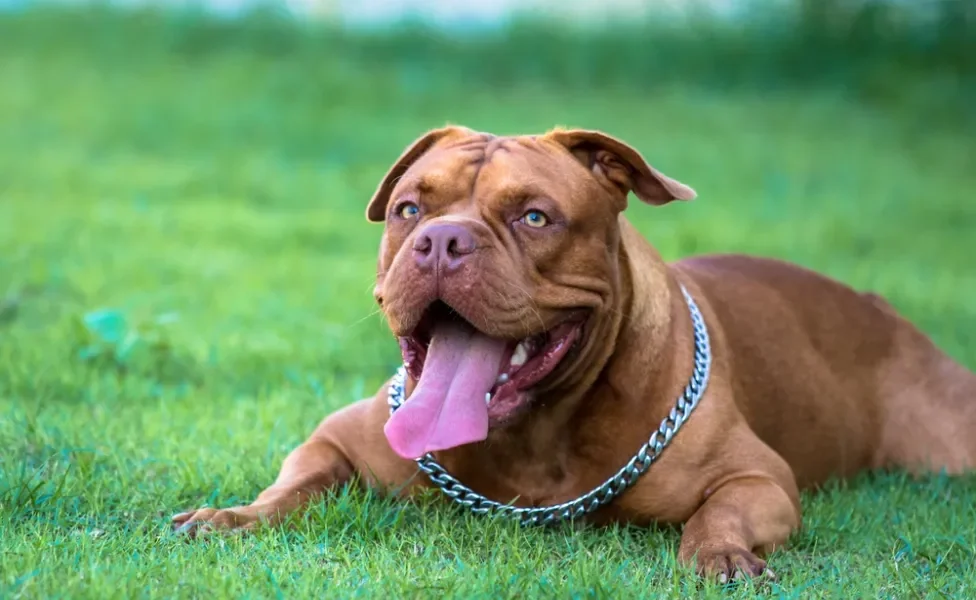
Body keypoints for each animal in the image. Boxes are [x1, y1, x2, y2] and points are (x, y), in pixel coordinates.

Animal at [175, 124, 976, 580]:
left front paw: (717, 554)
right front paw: (234, 516)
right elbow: (293, 487)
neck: (532, 434)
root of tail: (881, 308)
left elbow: (719, 515)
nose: (442, 240)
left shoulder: (758, 478)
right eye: (410, 208)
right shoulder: (338, 439)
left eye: (535, 217)